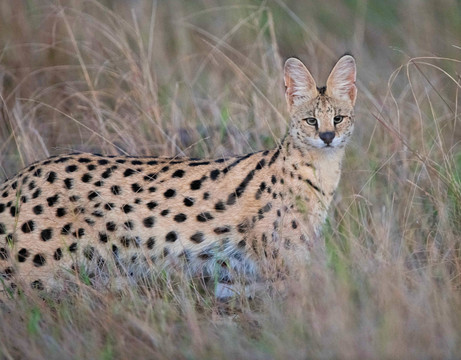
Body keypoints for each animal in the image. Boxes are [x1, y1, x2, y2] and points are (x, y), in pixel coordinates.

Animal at [0, 55, 356, 298]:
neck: (320, 171)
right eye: (311, 121)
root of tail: (17, 178)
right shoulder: (287, 266)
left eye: (339, 118)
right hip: (34, 276)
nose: (327, 136)